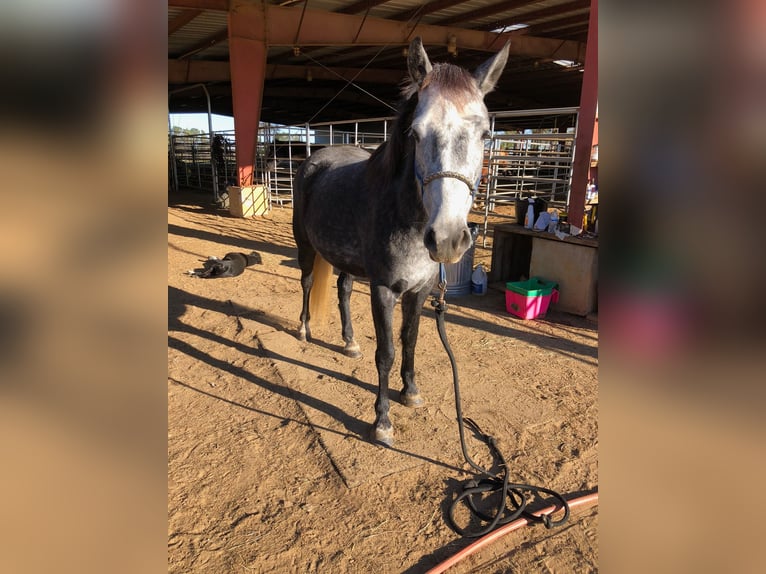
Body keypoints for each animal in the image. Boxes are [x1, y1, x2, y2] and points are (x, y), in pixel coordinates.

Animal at [292, 37, 509, 446]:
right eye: (416, 133)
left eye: (485, 135)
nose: (448, 239)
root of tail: (318, 158)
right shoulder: (383, 290)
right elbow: (387, 352)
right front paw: (382, 421)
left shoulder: (419, 291)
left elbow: (410, 341)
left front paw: (410, 392)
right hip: (305, 247)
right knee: (308, 282)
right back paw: (304, 330)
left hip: (347, 260)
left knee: (344, 289)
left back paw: (349, 342)